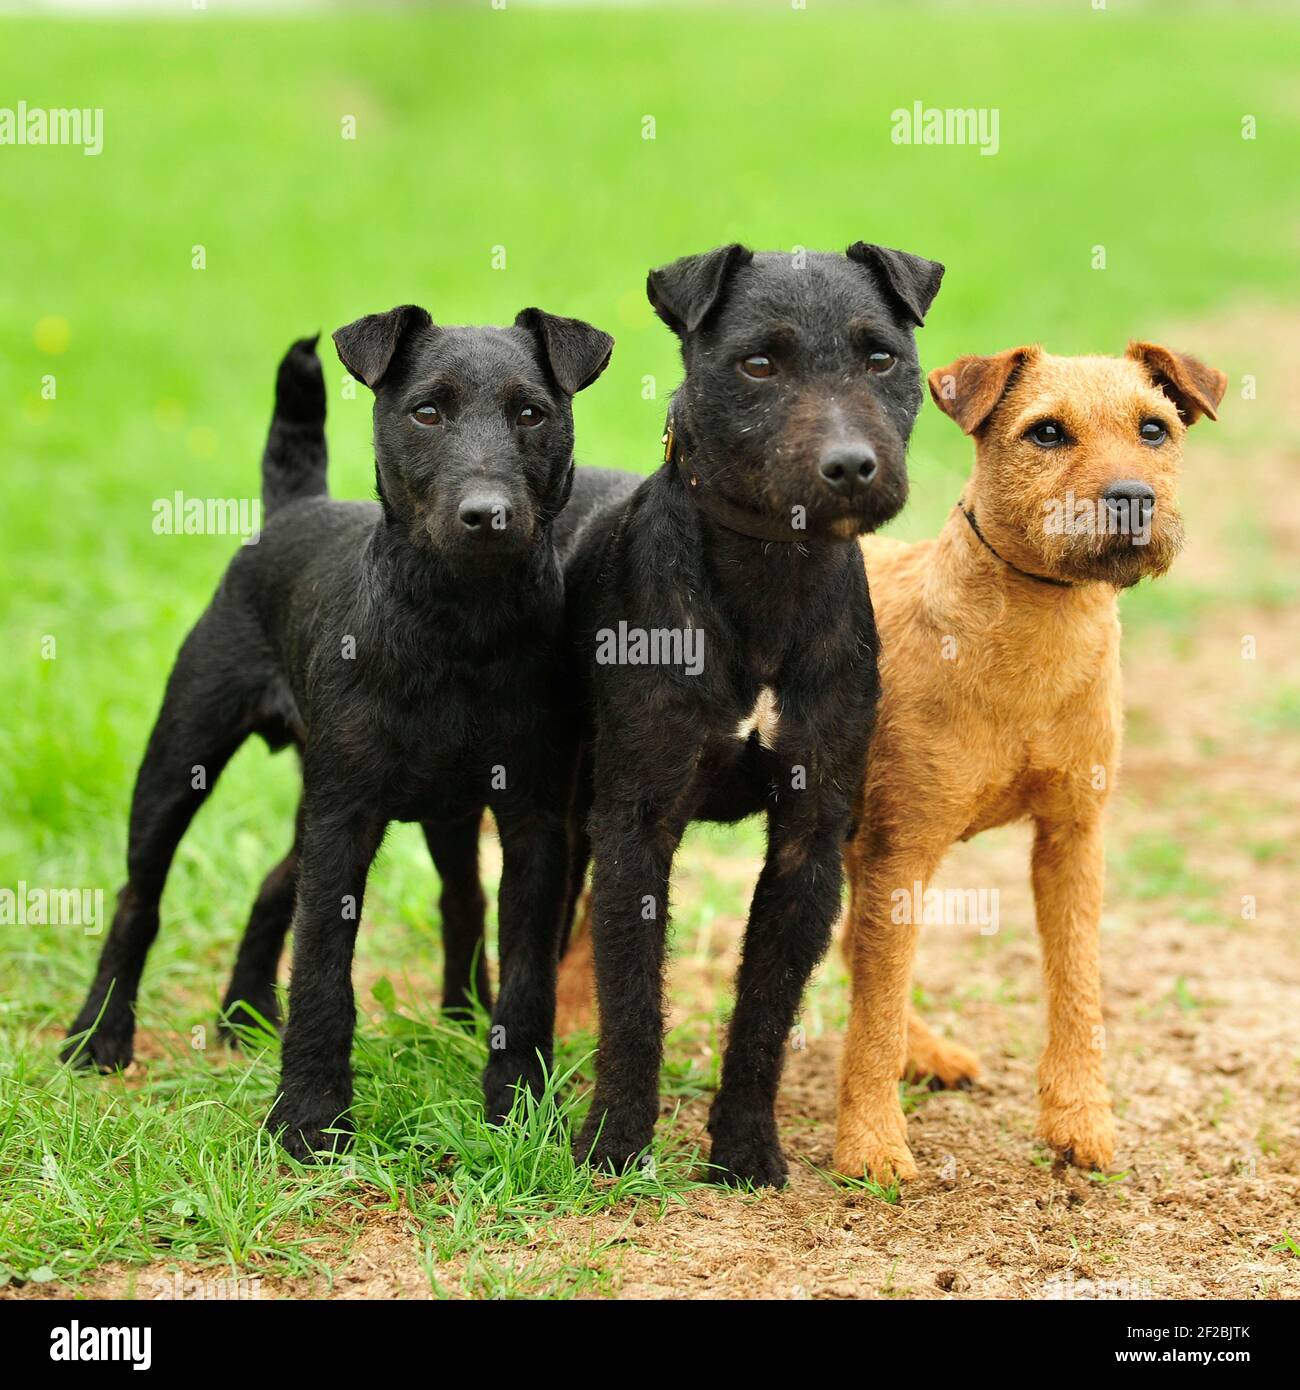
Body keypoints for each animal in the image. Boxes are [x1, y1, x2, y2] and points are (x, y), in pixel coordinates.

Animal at [68, 307, 617, 1162]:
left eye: (532, 412)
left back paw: (255, 1014)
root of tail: (293, 509)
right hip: (182, 758)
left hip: (394, 807)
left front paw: (520, 1108)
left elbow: (529, 974)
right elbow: (324, 969)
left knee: (307, 889)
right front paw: (309, 1119)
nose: (486, 514)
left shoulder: (534, 819)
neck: (459, 630)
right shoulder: (345, 820)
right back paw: (99, 1036)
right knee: (139, 899)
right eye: (426, 412)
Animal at [558, 239, 945, 1184]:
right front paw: (614, 1141)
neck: (770, 577)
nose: (850, 464)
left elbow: (766, 1009)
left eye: (881, 356)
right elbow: (634, 1001)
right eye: (758, 364)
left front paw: (743, 1147)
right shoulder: (637, 823)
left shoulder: (812, 835)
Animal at [839, 341, 1223, 1178]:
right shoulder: (902, 849)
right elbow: (875, 1006)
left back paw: (927, 1052)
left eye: (1154, 428)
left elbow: (1077, 984)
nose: (1132, 498)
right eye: (1046, 433)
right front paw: (871, 1145)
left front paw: (1080, 1120)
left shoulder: (1072, 836)